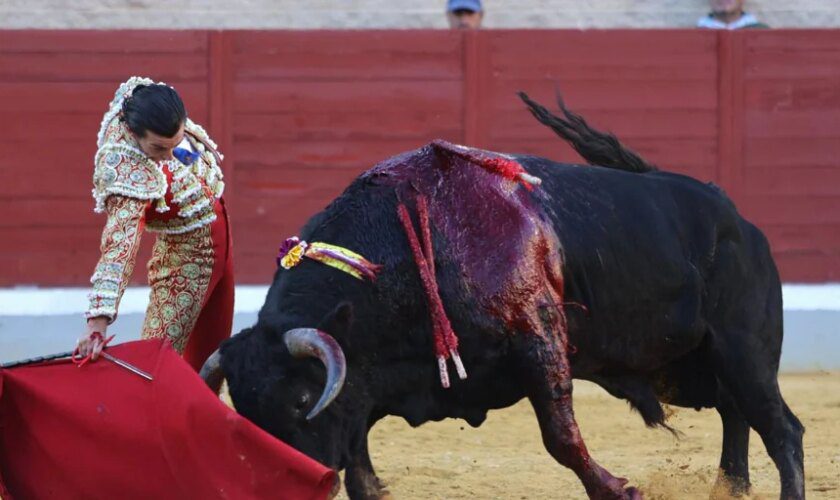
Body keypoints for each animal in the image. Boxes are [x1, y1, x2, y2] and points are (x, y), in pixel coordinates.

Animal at [200, 94, 804, 500]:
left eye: (301, 400)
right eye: (245, 412)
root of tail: (732, 213)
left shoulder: (537, 337)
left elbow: (561, 436)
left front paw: (618, 488)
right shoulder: (380, 373)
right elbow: (357, 437)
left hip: (744, 351)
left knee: (780, 428)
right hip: (693, 367)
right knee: (735, 414)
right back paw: (730, 487)